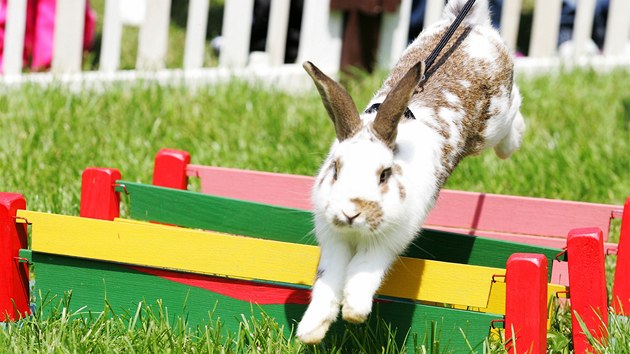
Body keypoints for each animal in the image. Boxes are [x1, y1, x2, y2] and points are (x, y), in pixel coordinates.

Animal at [298, 0, 524, 344]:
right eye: (335, 169)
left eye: (384, 175)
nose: (351, 211)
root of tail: (470, 23)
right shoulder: (334, 240)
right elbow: (328, 280)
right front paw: (311, 330)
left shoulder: (387, 241)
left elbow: (364, 271)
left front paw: (354, 312)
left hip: (496, 120)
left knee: (516, 112)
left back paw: (512, 144)